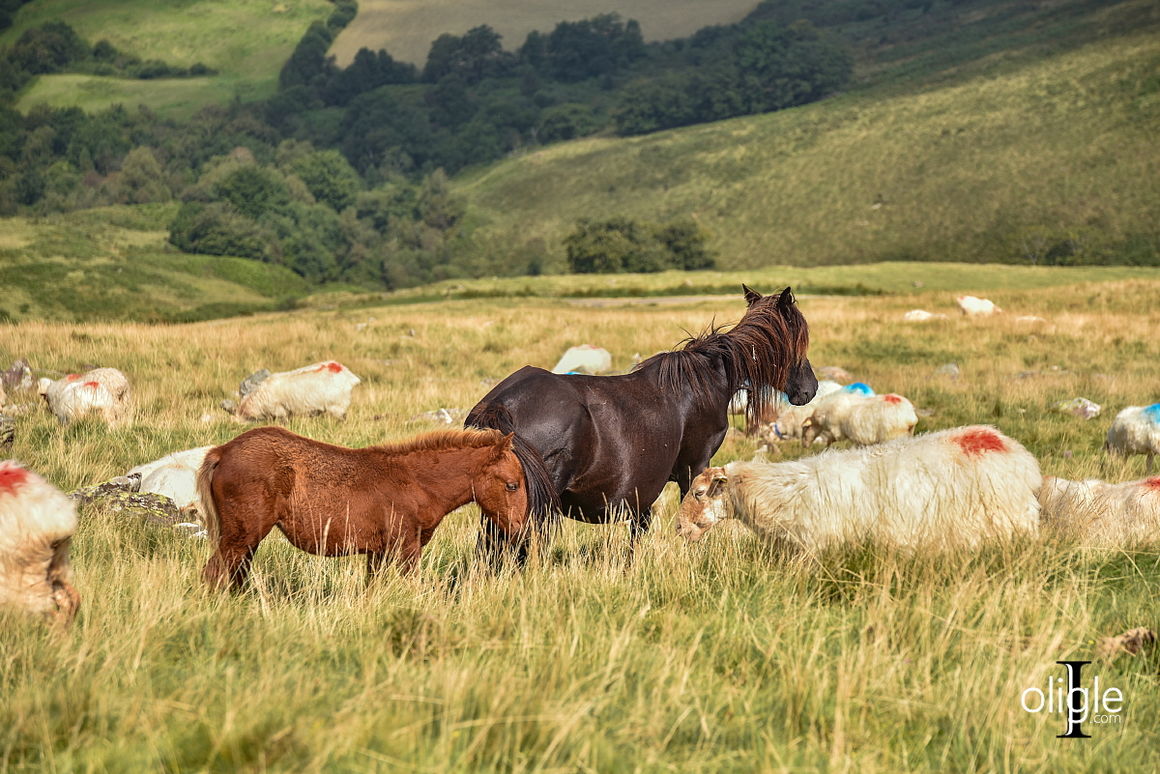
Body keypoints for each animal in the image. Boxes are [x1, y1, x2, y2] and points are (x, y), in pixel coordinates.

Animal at [199, 424, 526, 587]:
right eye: (512, 485)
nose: (520, 530)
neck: (415, 482)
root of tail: (222, 451)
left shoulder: (377, 554)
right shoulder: (406, 549)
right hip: (241, 536)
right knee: (213, 573)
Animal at [464, 284, 816, 563]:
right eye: (799, 342)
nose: (810, 390)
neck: (706, 380)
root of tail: (501, 403)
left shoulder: (644, 492)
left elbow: (640, 531)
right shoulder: (694, 466)